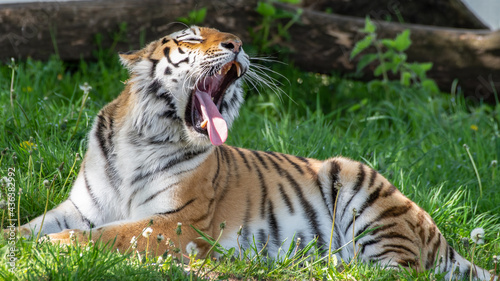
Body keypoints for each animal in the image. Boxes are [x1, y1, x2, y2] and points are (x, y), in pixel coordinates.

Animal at [9, 25, 498, 278]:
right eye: (191, 40)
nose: (238, 44)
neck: (142, 138)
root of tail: (439, 235)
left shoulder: (179, 221)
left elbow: (107, 236)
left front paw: (53, 248)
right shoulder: (80, 207)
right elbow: (29, 226)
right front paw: (14, 241)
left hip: (366, 193)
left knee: (391, 270)